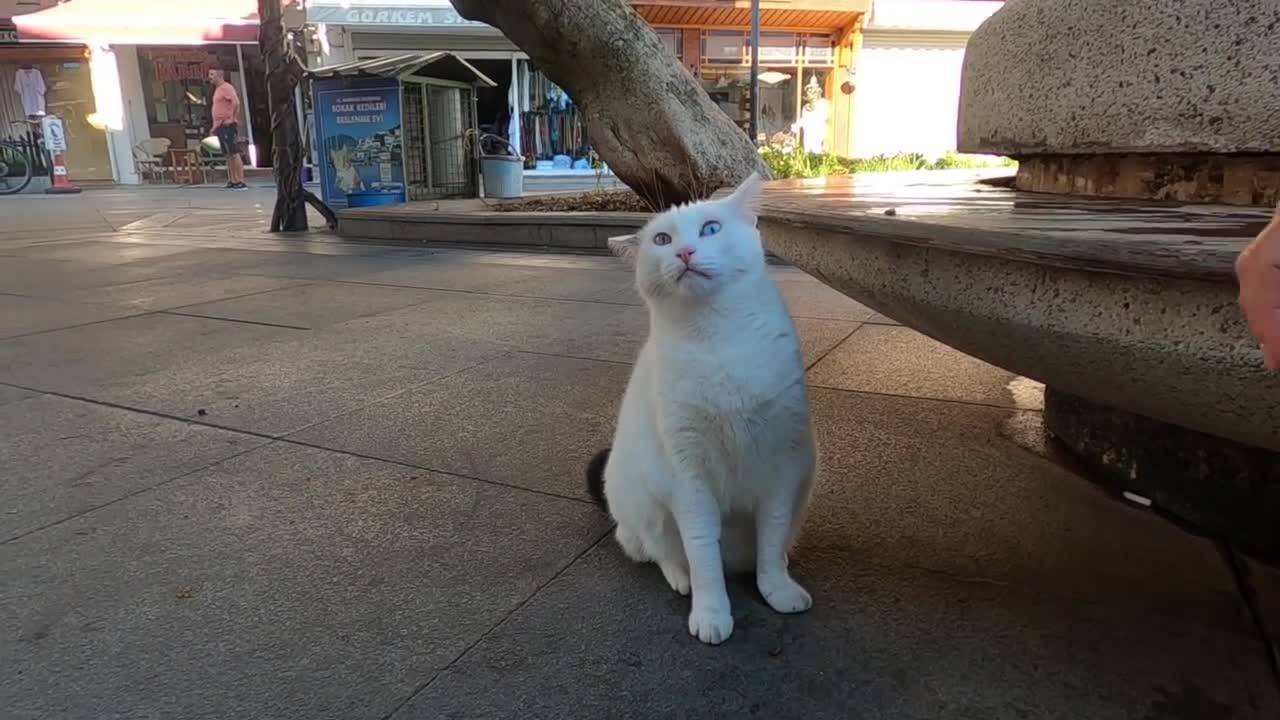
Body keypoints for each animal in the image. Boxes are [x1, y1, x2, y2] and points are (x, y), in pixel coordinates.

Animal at [586, 172, 814, 645]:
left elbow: (771, 540)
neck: (717, 336)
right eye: (661, 239)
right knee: (659, 553)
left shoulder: (782, 467)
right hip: (641, 507)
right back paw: (681, 579)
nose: (685, 252)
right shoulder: (688, 477)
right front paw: (711, 614)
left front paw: (778, 590)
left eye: (710, 228)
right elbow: (703, 553)